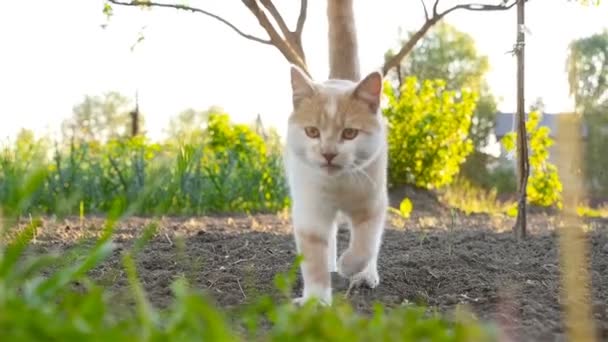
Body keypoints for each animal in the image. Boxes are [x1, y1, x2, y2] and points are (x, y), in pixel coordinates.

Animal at [284, 65, 390, 304]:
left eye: (350, 133)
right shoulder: (310, 213)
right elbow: (314, 258)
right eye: (312, 132)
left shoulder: (372, 205)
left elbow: (366, 244)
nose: (328, 153)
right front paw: (315, 301)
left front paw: (348, 266)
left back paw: (365, 275)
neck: (338, 184)